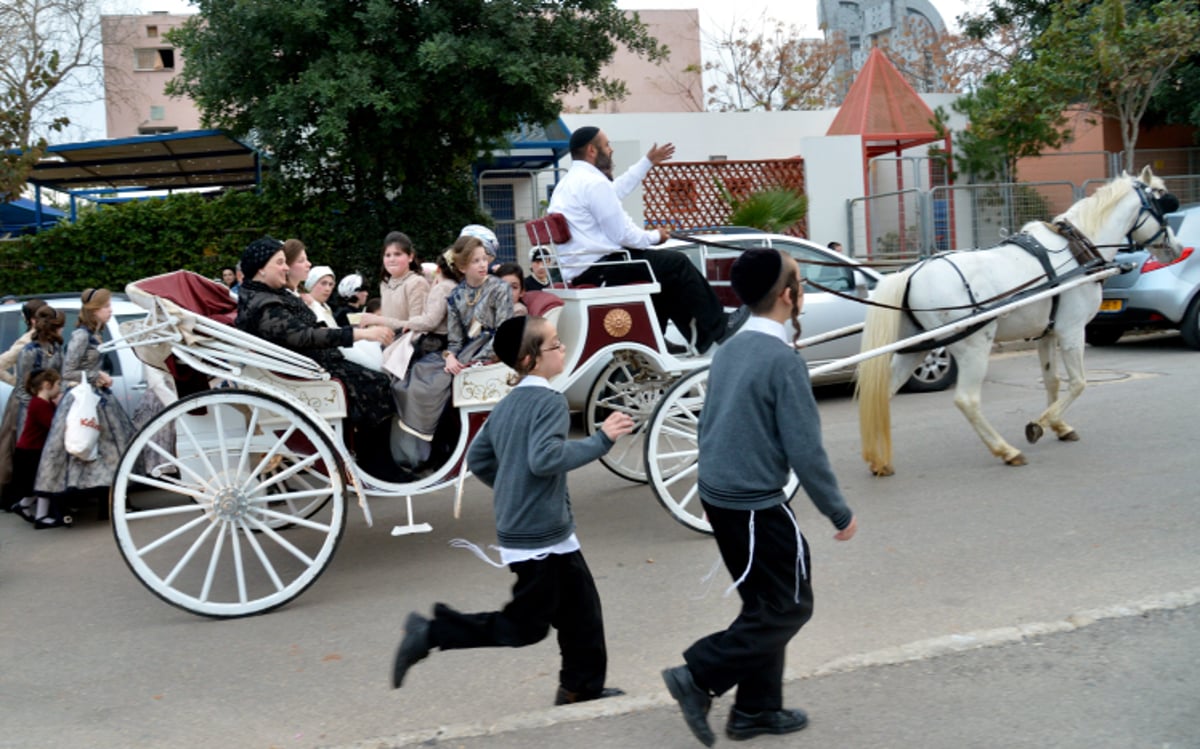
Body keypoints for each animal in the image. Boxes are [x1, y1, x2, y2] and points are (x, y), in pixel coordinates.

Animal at [859, 169, 1185, 472]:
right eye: (1164, 202)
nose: (1178, 248)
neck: (1076, 251)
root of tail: (911, 273)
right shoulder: (1072, 331)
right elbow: (1078, 383)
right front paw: (1039, 425)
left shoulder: (1047, 334)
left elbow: (1053, 381)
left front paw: (1060, 426)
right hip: (973, 346)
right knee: (967, 400)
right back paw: (1006, 450)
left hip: (917, 347)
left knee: (883, 393)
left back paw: (878, 459)